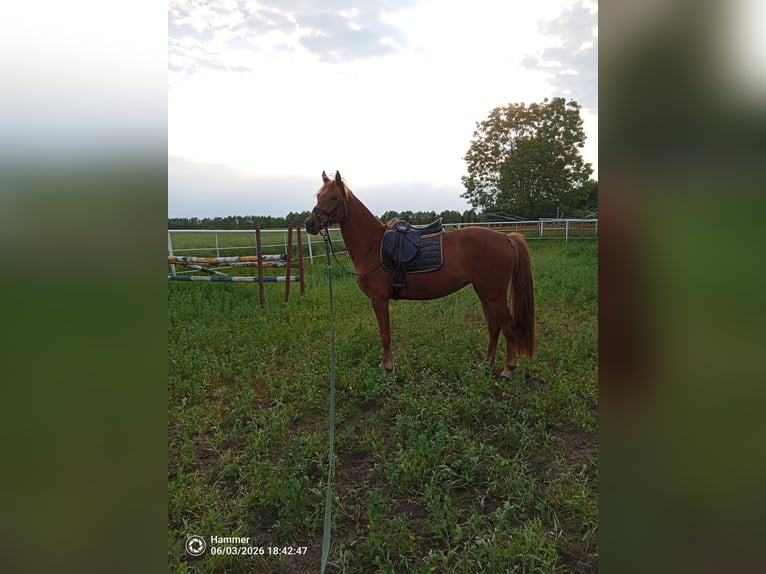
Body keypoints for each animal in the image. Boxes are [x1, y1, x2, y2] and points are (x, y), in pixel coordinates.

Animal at [304, 171, 535, 379]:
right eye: (318, 196)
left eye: (333, 198)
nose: (310, 224)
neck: (372, 245)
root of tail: (505, 237)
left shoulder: (379, 299)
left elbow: (385, 335)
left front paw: (388, 369)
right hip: (484, 292)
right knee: (494, 327)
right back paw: (486, 365)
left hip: (494, 295)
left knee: (509, 327)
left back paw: (507, 370)